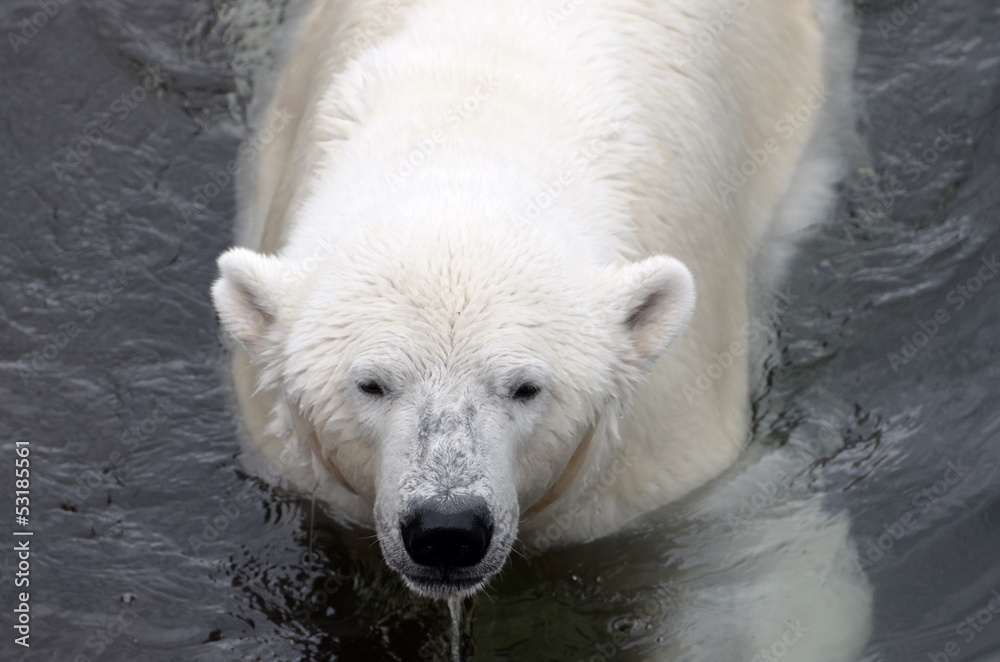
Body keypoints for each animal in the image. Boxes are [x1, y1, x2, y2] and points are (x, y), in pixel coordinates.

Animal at [212, 0, 871, 658]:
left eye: (526, 387)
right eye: (371, 384)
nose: (447, 529)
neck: (473, 156)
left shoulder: (661, 463)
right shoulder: (298, 471)